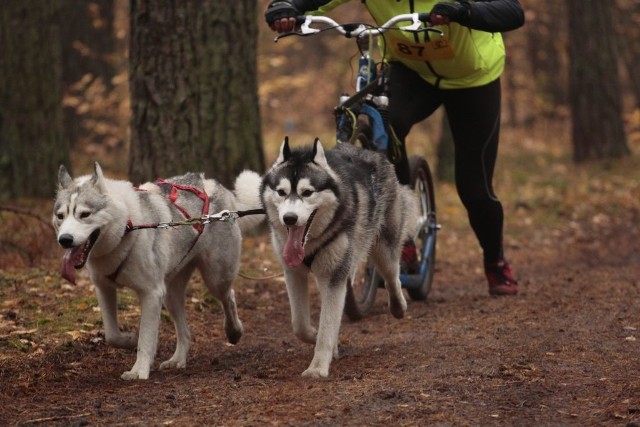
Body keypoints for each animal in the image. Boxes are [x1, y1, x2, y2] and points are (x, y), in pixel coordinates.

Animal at [52, 164, 262, 382]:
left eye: (84, 214)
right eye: (60, 216)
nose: (65, 239)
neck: (127, 228)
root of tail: (214, 184)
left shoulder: (151, 294)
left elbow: (146, 339)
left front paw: (139, 371)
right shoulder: (104, 289)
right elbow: (112, 335)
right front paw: (129, 340)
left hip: (216, 278)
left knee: (229, 296)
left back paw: (234, 331)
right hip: (171, 295)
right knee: (185, 332)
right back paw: (178, 360)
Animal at [262, 138, 420, 378]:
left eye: (307, 192)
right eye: (281, 192)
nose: (289, 218)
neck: (310, 243)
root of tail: (372, 152)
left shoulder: (334, 276)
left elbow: (328, 323)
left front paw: (318, 367)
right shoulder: (293, 273)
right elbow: (299, 324)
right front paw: (314, 334)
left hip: (383, 247)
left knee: (392, 275)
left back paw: (398, 306)